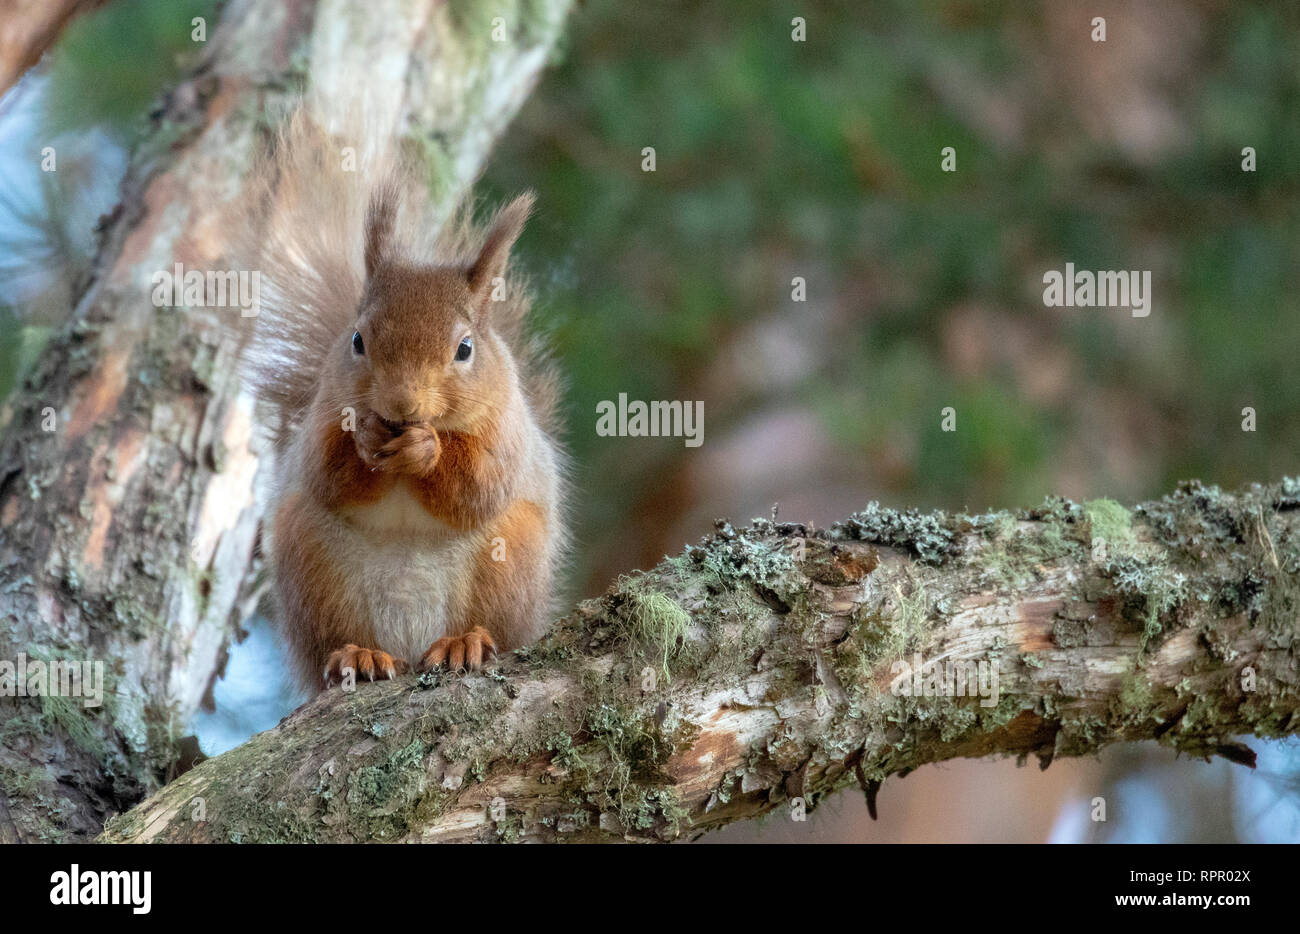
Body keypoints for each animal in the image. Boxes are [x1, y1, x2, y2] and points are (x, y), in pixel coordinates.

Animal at [241, 111, 566, 697]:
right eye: (357, 340)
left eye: (465, 349)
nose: (400, 404)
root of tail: (411, 642)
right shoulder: (322, 416)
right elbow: (326, 471)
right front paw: (366, 437)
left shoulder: (507, 430)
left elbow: (480, 484)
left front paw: (427, 450)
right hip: (309, 558)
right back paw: (358, 654)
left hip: (512, 556)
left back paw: (464, 643)